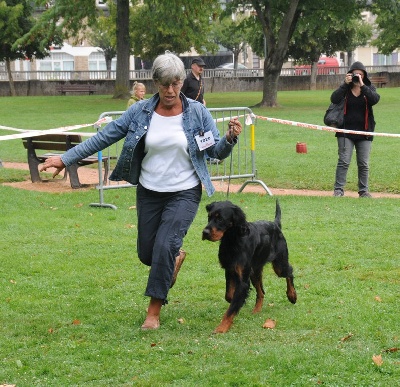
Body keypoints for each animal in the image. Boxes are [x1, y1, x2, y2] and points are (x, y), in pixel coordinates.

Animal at [202, 200, 296, 334]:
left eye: (220, 219)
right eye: (209, 217)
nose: (205, 233)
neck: (232, 241)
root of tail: (275, 224)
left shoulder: (243, 280)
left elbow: (232, 306)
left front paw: (222, 327)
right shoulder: (230, 270)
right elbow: (230, 296)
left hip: (279, 265)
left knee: (289, 272)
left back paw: (292, 295)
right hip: (254, 271)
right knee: (261, 291)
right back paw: (257, 310)